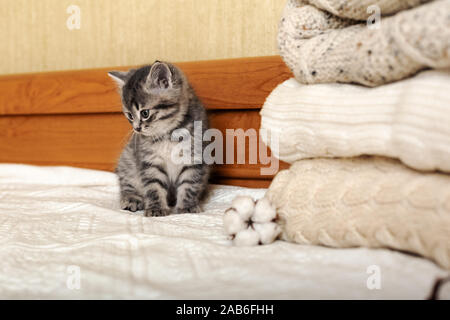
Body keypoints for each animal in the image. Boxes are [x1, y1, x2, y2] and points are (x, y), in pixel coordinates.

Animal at [109, 61, 209, 216]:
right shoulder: (149, 161)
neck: (168, 134)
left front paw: (187, 206)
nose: (137, 128)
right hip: (127, 160)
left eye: (145, 113)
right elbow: (153, 186)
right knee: (127, 183)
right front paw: (156, 208)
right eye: (130, 115)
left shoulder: (194, 156)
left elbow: (190, 183)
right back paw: (132, 199)